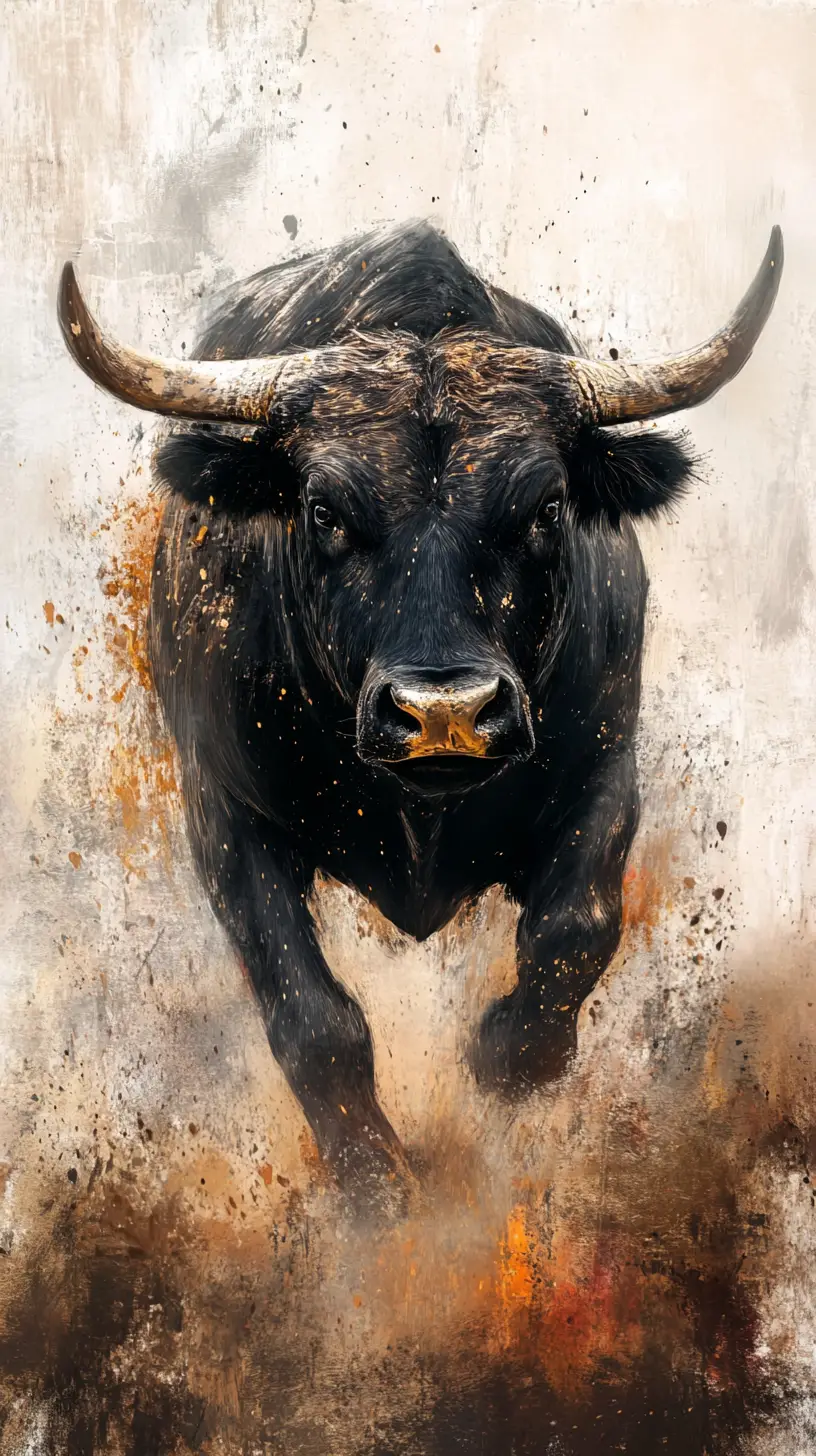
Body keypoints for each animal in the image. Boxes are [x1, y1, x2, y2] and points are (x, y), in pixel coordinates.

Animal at [59, 221, 782, 1203]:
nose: (446, 713)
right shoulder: (224, 816)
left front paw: (502, 1064)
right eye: (323, 510)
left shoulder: (606, 769)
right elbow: (313, 1020)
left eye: (546, 506)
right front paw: (375, 1189)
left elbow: (574, 932)